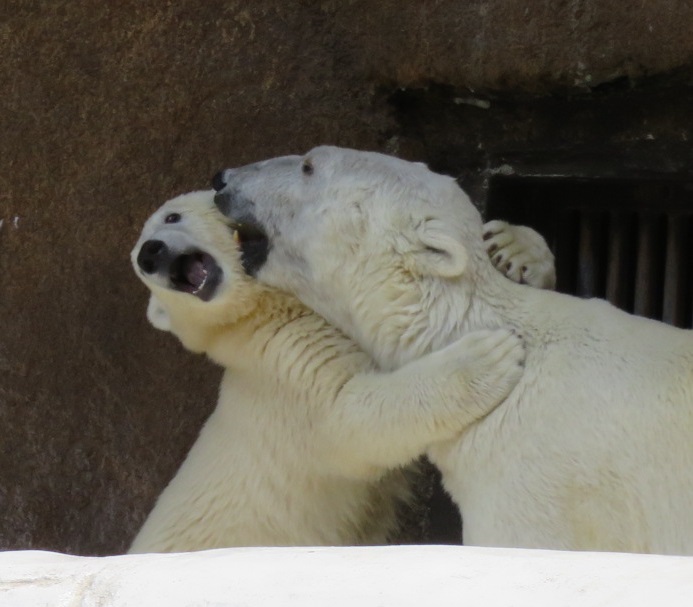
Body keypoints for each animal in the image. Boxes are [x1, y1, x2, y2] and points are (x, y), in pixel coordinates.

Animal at [127, 191, 524, 556]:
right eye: (138, 266)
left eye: (172, 216)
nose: (150, 254)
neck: (253, 317)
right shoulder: (286, 364)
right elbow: (351, 415)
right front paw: (492, 354)